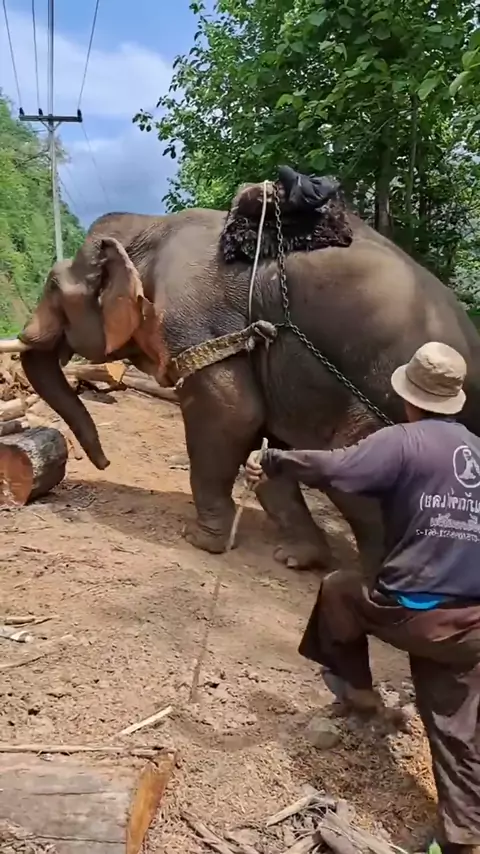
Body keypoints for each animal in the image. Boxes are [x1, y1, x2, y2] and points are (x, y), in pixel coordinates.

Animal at [3, 175, 480, 575]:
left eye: (53, 288)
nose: (103, 463)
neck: (148, 231)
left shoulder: (194, 318)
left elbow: (231, 412)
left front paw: (199, 540)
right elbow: (265, 442)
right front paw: (296, 559)